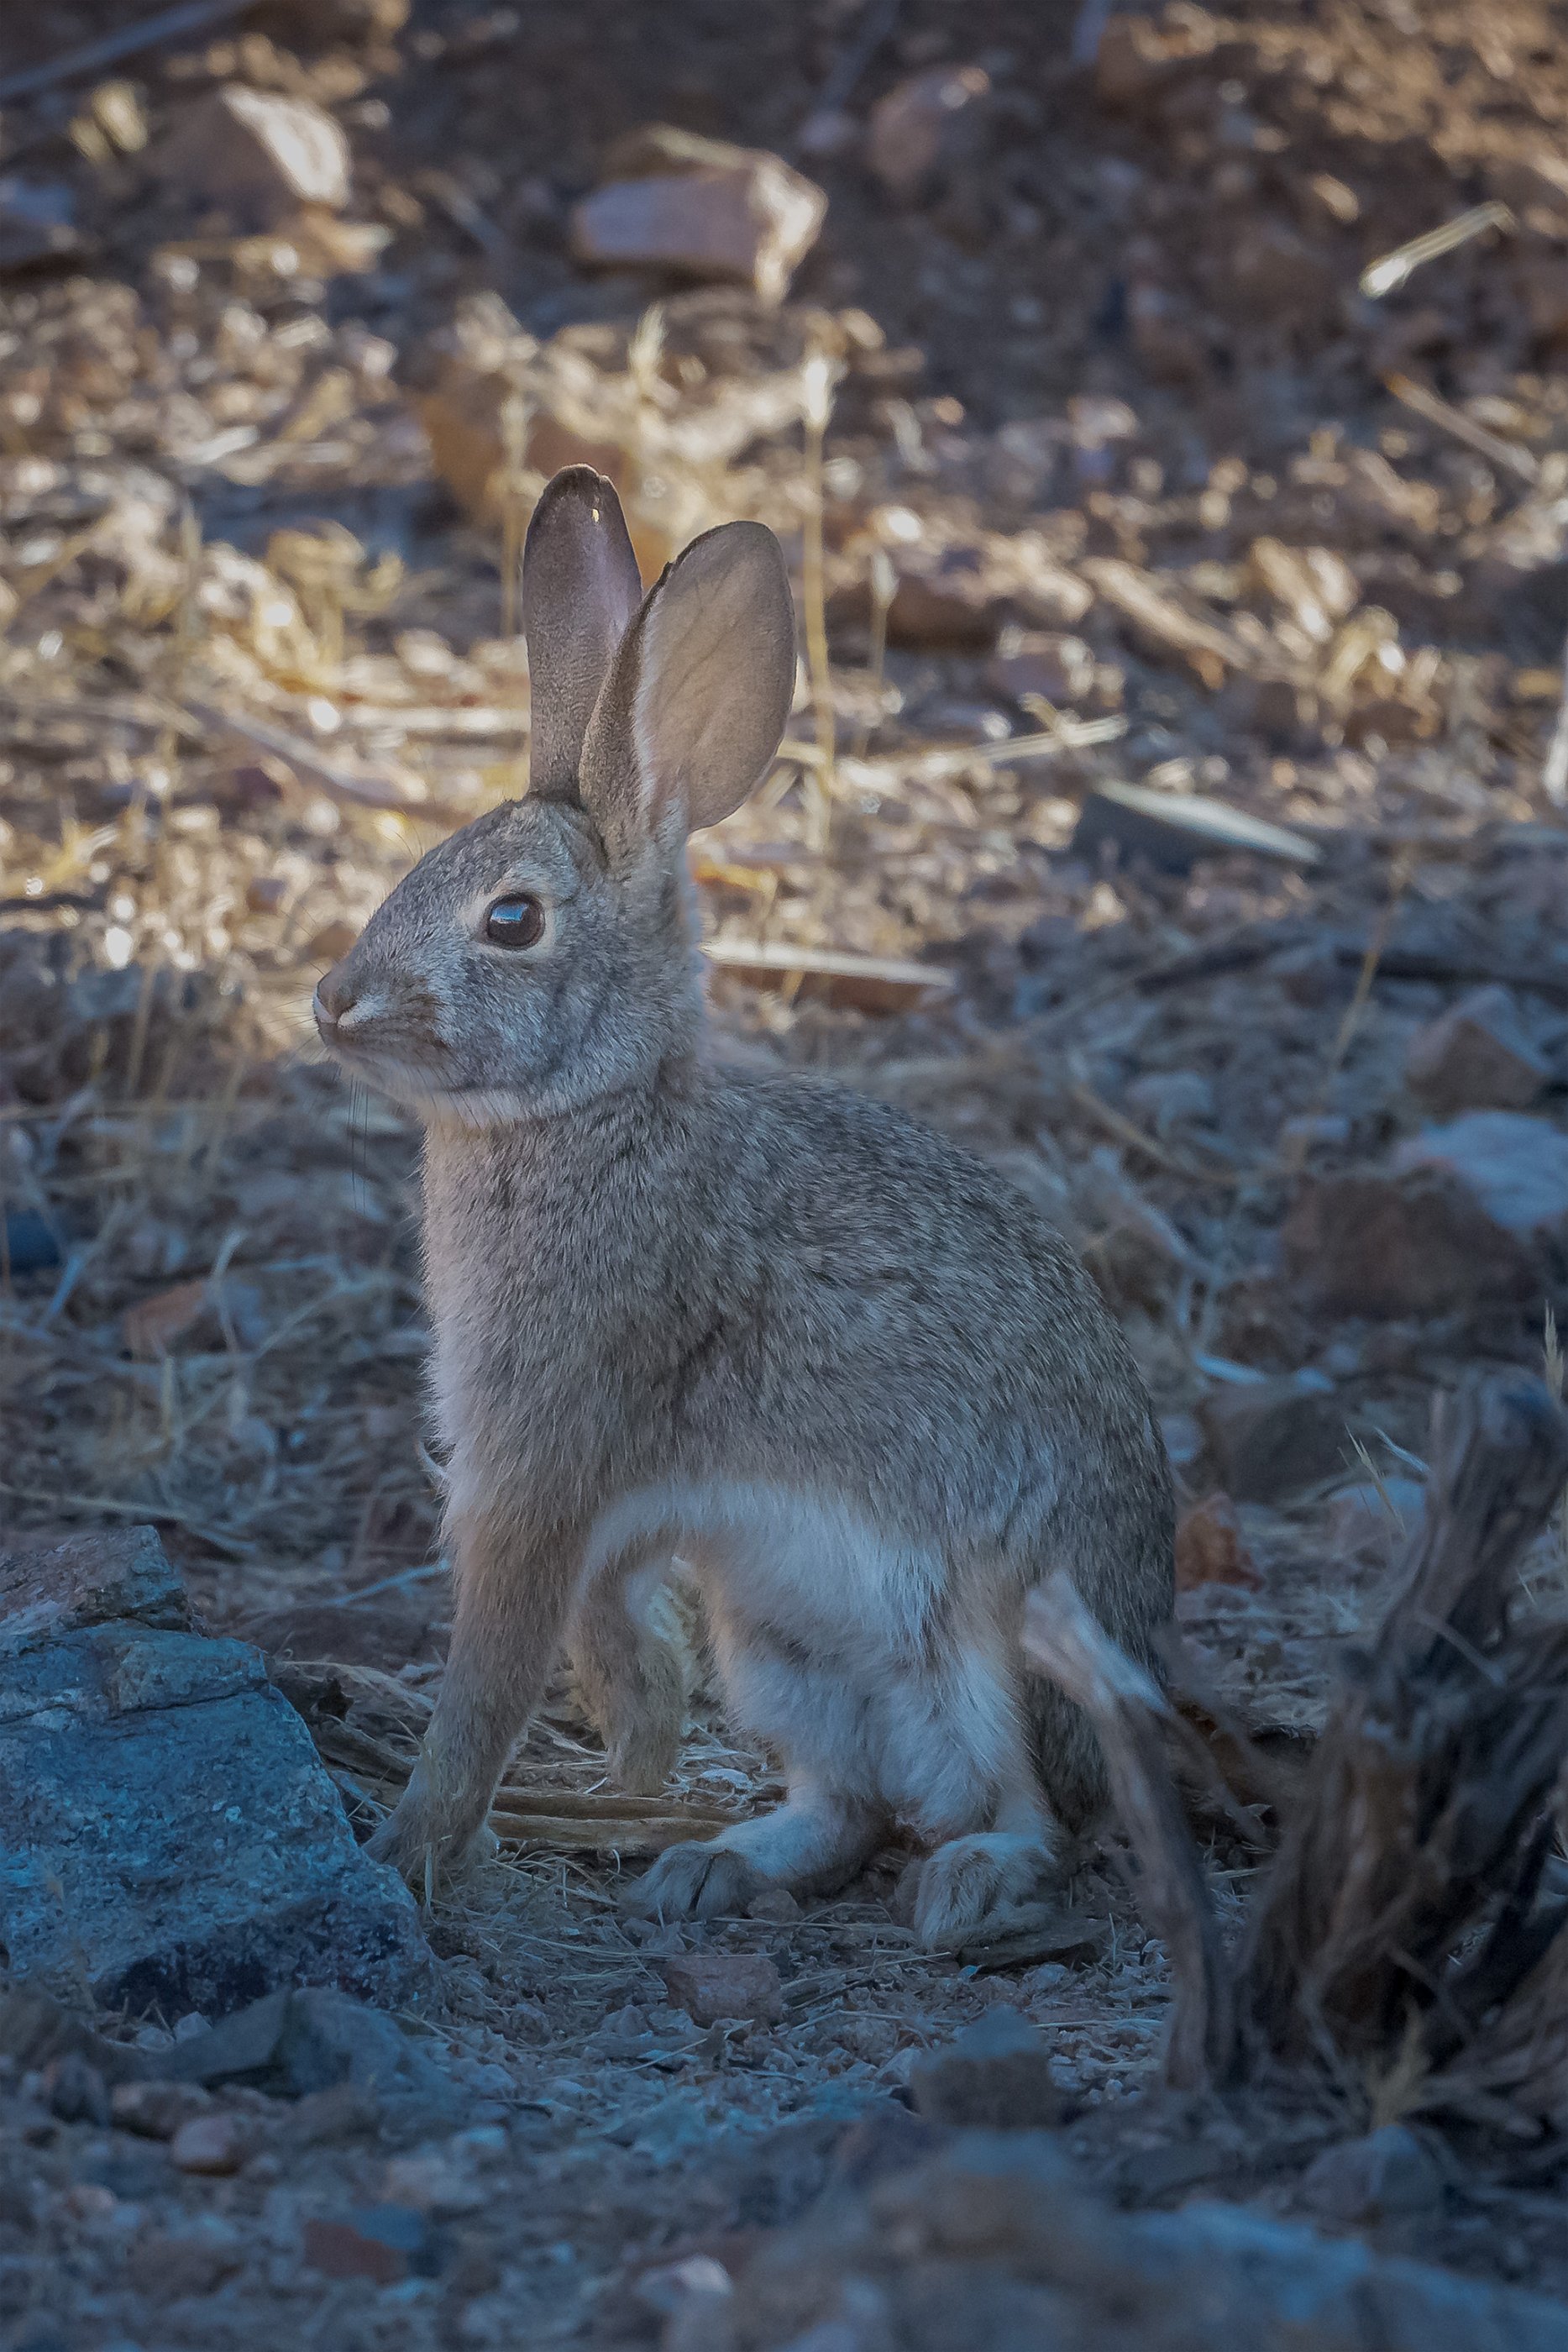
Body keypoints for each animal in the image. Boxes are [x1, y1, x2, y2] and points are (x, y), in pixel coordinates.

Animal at [319, 463, 1170, 1947]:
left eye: (511, 922)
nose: (332, 1003)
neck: (591, 1114)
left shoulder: (540, 1470)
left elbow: (490, 1677)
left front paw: (407, 1850)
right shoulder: (616, 1512)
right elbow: (609, 1628)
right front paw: (638, 1750)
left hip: (994, 1638)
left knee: (1031, 1818)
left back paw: (965, 1887)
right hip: (776, 1639)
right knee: (851, 1807)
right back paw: (708, 1865)